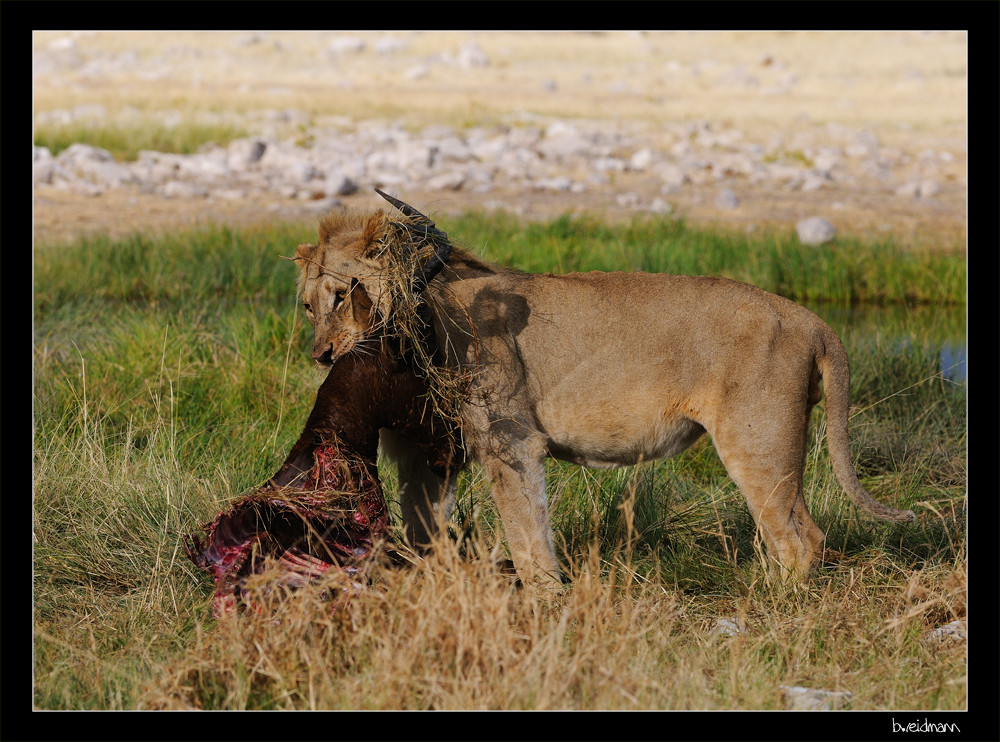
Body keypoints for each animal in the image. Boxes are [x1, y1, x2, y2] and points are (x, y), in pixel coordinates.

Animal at [292, 190, 916, 588]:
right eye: (307, 305)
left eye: (344, 295)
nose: (322, 356)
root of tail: (812, 319)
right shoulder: (427, 453)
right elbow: (425, 529)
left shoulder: (510, 443)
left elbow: (526, 533)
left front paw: (544, 600)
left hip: (759, 446)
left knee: (801, 539)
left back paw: (772, 608)